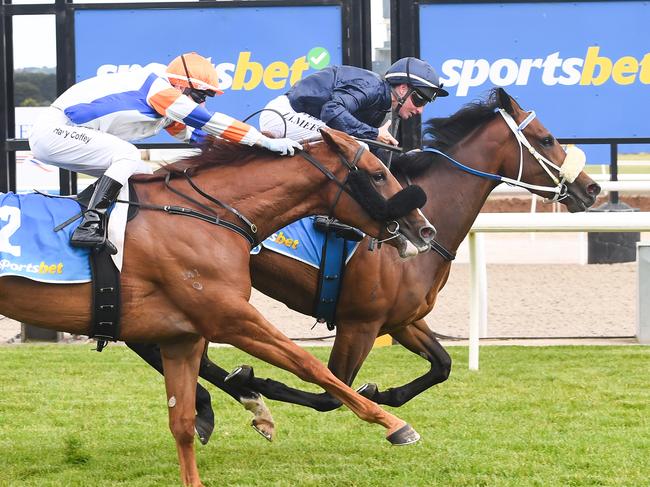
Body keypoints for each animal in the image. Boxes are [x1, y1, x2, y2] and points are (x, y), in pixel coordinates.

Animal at [2, 129, 436, 487]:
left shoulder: (182, 336)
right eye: (378, 174)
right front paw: (394, 424)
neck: (207, 215)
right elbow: (311, 365)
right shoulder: (231, 318)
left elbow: (181, 421)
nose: (424, 230)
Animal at [124, 86, 600, 442]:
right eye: (545, 139)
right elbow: (331, 392)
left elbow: (442, 366)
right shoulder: (360, 323)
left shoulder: (402, 320)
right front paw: (257, 383)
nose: (592, 188)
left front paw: (382, 391)